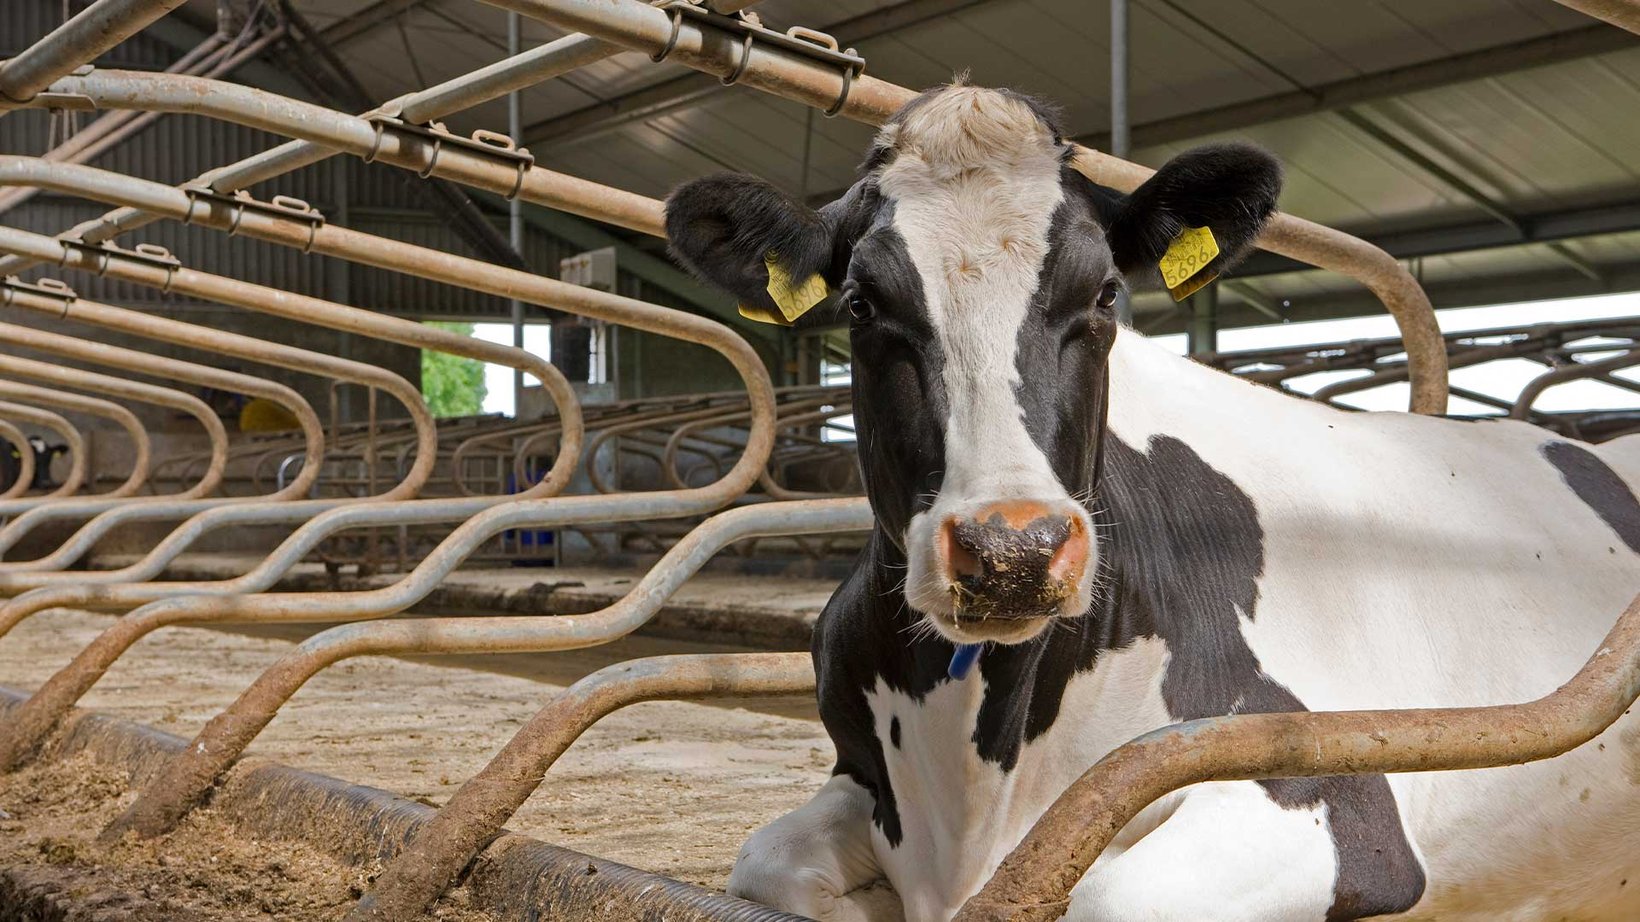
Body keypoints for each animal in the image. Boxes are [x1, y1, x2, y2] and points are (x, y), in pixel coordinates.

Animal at [663, 83, 1640, 922]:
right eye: (864, 303)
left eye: (1104, 295)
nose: (1012, 553)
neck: (972, 780)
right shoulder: (858, 773)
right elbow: (766, 860)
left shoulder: (1331, 788)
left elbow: (1108, 898)